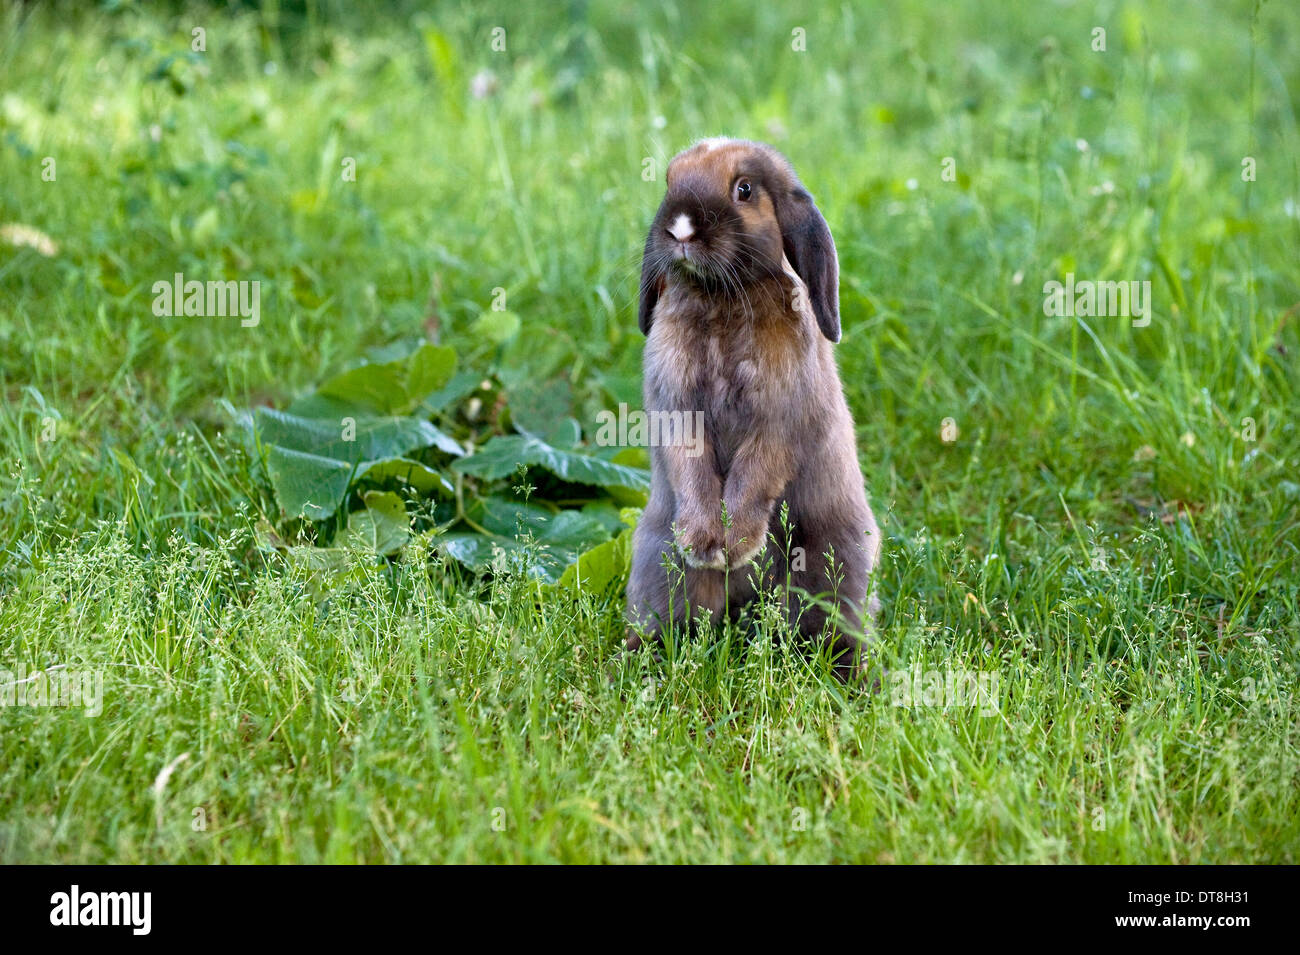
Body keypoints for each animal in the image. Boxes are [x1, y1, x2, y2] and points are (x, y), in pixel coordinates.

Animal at [624, 137, 882, 682]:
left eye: (744, 189)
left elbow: (754, 473)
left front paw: (735, 544)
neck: (721, 296)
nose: (680, 228)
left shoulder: (778, 422)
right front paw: (706, 545)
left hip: (830, 569)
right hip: (658, 567)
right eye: (669, 180)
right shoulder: (679, 411)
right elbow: (692, 467)